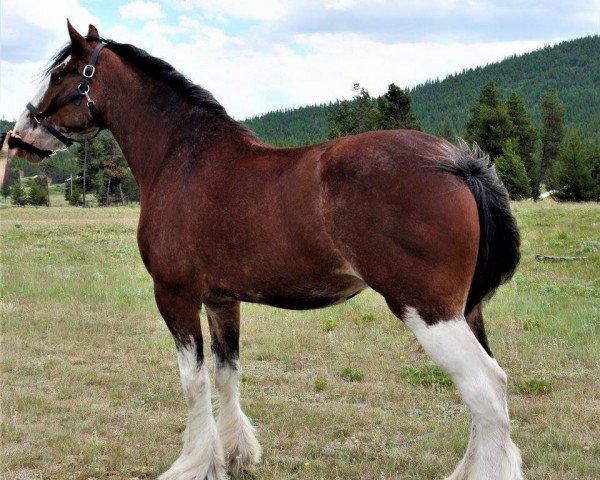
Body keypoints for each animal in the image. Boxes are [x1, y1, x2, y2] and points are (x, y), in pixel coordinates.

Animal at [8, 22, 524, 480]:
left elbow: (193, 382)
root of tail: (459, 164)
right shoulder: (221, 300)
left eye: (61, 74)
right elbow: (226, 374)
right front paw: (235, 457)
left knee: (485, 389)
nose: (17, 135)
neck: (182, 157)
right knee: (487, 395)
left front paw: (194, 464)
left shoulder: (175, 296)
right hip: (467, 312)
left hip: (430, 313)